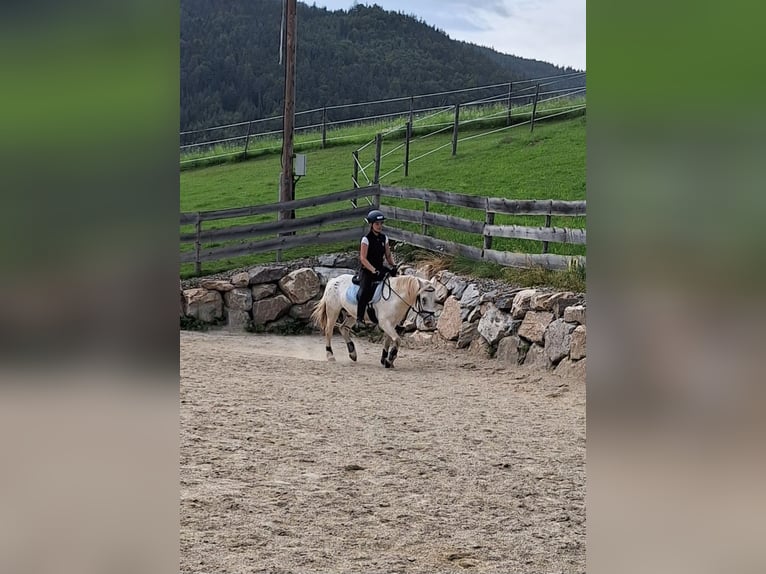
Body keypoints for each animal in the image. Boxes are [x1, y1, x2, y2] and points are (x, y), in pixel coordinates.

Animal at [310, 274, 438, 368]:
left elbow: (388, 340)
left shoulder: (392, 324)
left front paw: (385, 359)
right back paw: (330, 356)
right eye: (423, 299)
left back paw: (352, 354)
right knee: (329, 331)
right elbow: (397, 340)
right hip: (333, 312)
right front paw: (389, 360)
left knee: (343, 328)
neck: (395, 298)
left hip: (352, 314)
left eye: (435, 300)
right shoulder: (385, 323)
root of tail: (333, 280)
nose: (430, 322)